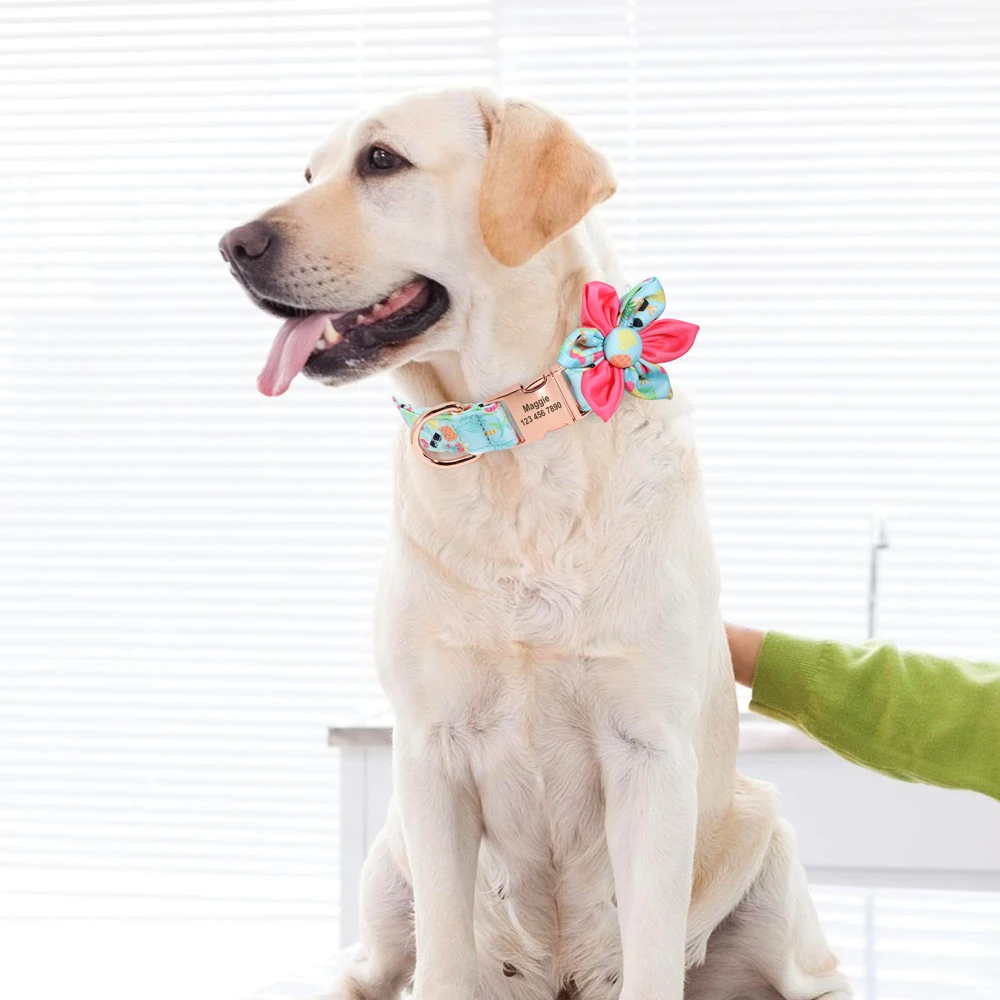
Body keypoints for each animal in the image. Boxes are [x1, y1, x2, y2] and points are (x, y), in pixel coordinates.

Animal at [220, 88, 851, 1000]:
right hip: (390, 863)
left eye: (381, 161)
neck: (508, 446)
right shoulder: (430, 755)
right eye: (308, 173)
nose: (234, 245)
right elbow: (443, 961)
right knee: (367, 969)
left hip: (767, 849)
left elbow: (652, 958)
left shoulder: (649, 755)